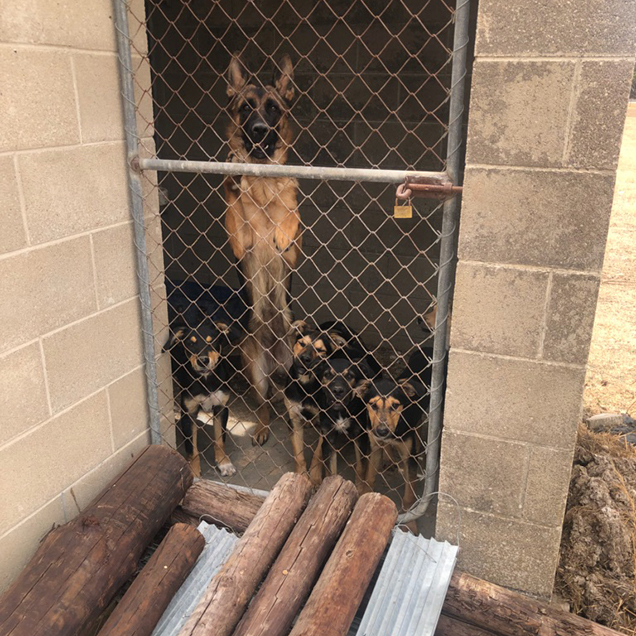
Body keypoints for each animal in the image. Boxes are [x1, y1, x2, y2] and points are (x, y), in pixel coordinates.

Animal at [165, 322, 237, 476]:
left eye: (212, 341)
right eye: (190, 344)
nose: (203, 360)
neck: (206, 380)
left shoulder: (221, 408)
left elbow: (220, 440)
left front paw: (224, 463)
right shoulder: (188, 414)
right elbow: (192, 449)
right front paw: (193, 472)